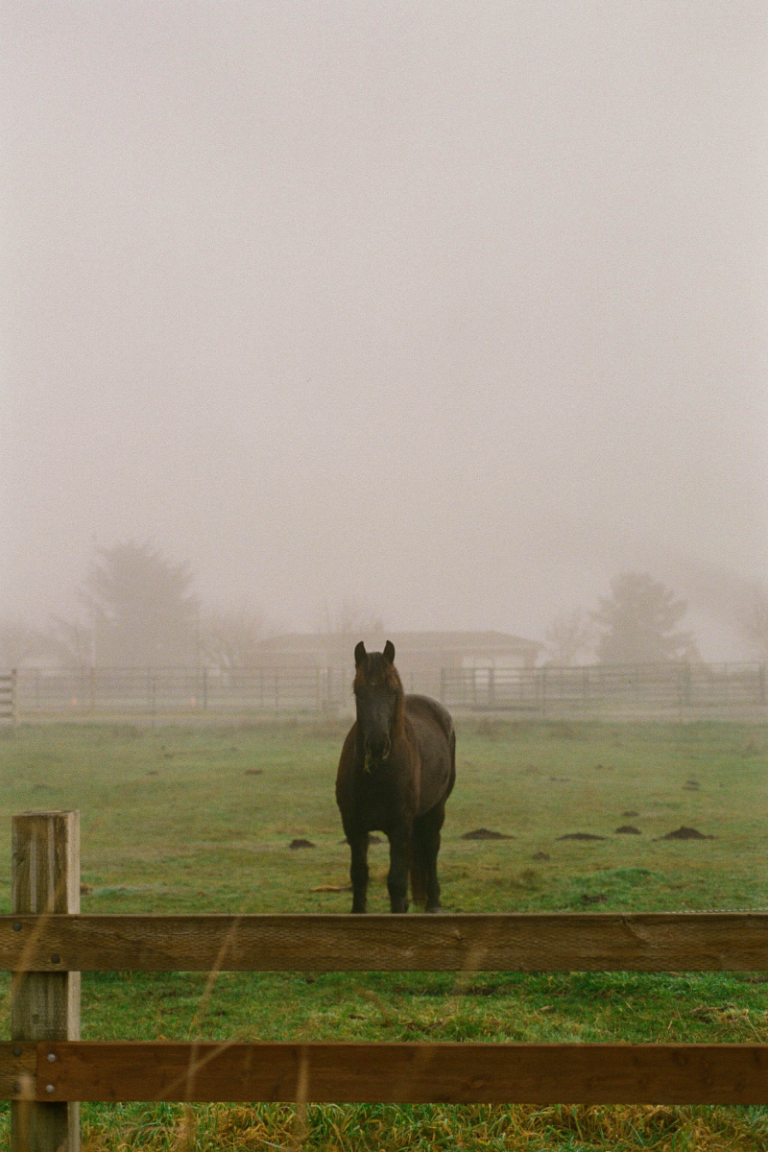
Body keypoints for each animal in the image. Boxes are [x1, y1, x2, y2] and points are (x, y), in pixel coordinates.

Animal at [333, 645, 453, 912]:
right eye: (358, 692)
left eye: (393, 692)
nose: (377, 745)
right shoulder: (354, 827)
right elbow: (359, 875)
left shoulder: (399, 827)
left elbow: (396, 881)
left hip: (436, 809)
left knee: (432, 847)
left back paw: (434, 903)